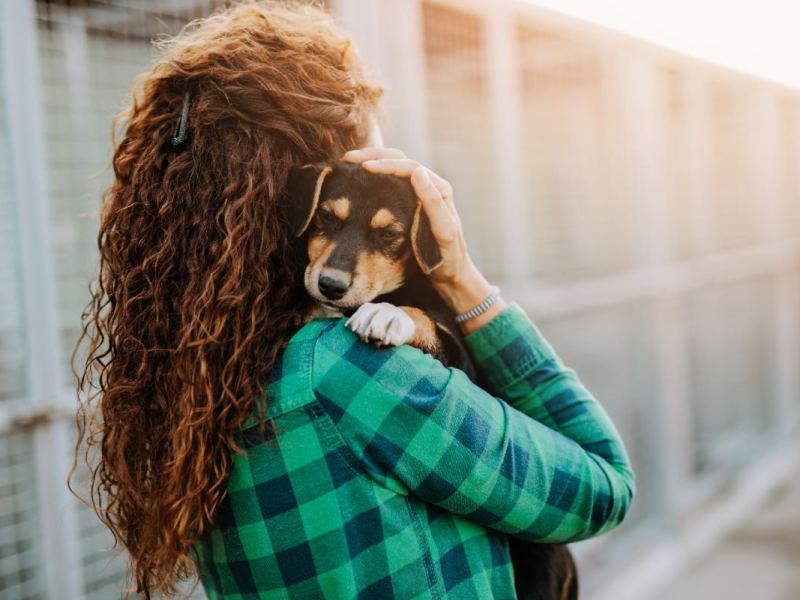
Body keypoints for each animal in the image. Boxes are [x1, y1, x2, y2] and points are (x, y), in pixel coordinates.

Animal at [278, 161, 580, 600]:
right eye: (326, 218)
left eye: (389, 235)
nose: (330, 285)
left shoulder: (461, 361)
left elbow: (423, 319)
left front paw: (387, 315)